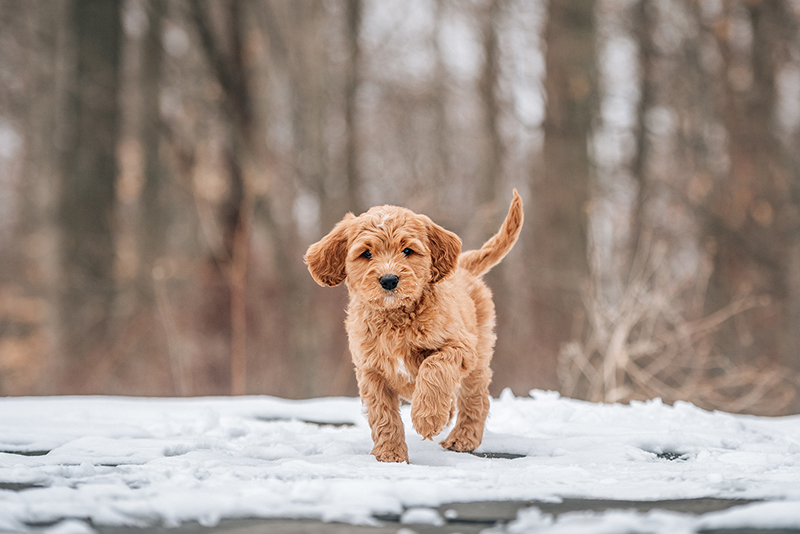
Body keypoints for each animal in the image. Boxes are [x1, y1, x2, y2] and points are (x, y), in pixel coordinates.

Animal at [304, 191, 520, 462]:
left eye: (407, 250)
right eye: (366, 254)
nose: (389, 280)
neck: (395, 318)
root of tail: (463, 267)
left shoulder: (459, 347)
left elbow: (434, 368)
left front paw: (427, 418)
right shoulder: (370, 370)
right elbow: (383, 414)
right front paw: (390, 454)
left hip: (478, 357)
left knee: (476, 399)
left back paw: (462, 438)